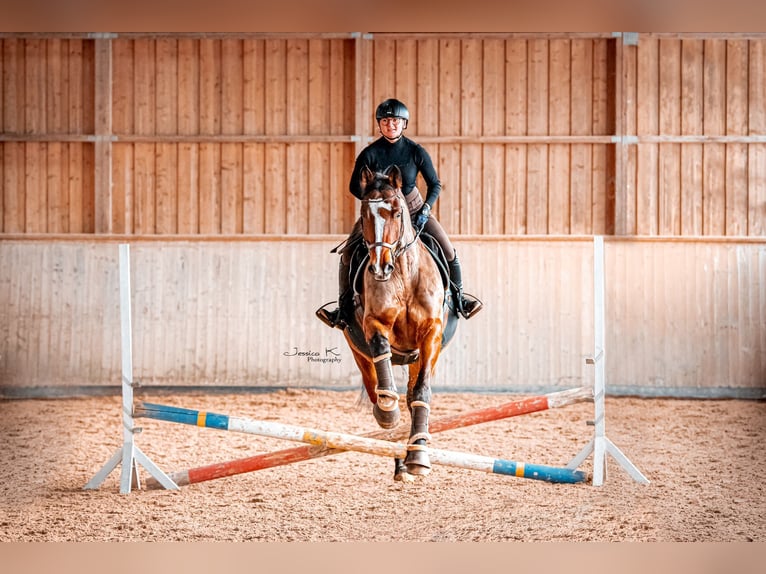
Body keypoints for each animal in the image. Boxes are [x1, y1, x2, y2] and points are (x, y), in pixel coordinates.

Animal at [342, 165, 450, 482]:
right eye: (365, 213)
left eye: (398, 213)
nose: (380, 267)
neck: (403, 275)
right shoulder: (374, 324)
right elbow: (382, 359)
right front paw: (388, 412)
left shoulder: (431, 335)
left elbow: (422, 392)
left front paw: (420, 458)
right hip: (359, 352)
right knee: (374, 387)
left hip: (418, 357)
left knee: (412, 393)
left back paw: (411, 455)